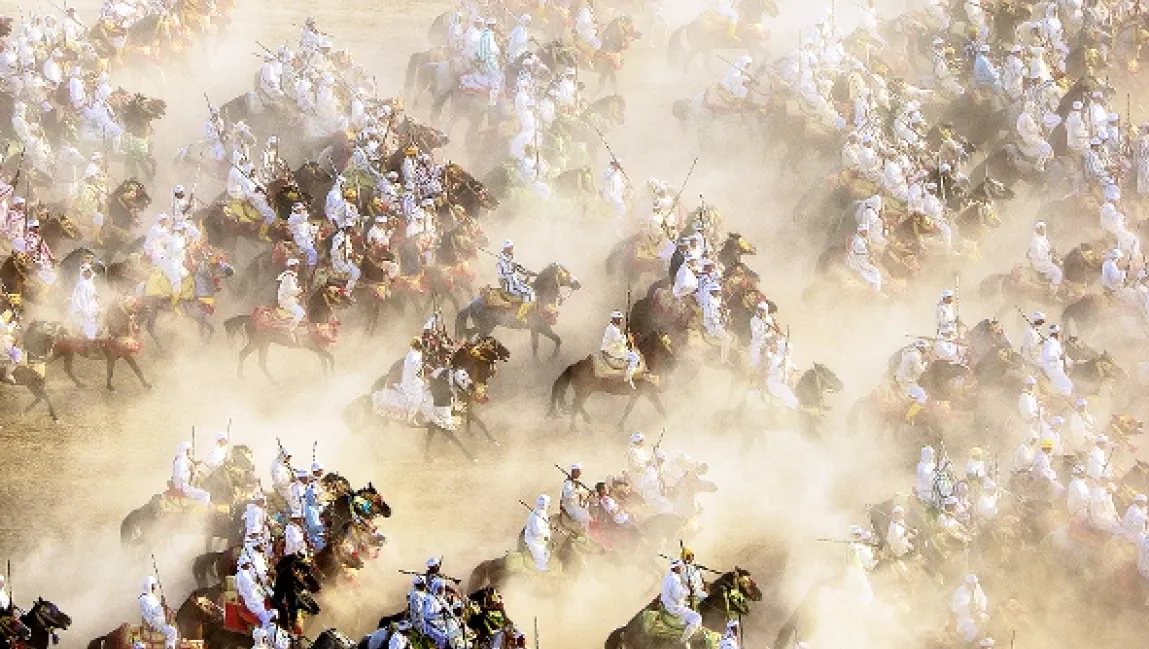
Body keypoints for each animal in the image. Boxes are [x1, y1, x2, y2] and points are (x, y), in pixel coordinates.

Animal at [548, 331, 677, 431]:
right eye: (664, 345)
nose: (675, 360)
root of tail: (574, 366)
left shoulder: (641, 394)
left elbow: (652, 408)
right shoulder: (644, 393)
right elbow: (654, 408)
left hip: (584, 392)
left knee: (577, 405)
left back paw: (586, 419)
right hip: (584, 392)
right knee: (576, 405)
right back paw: (573, 427)